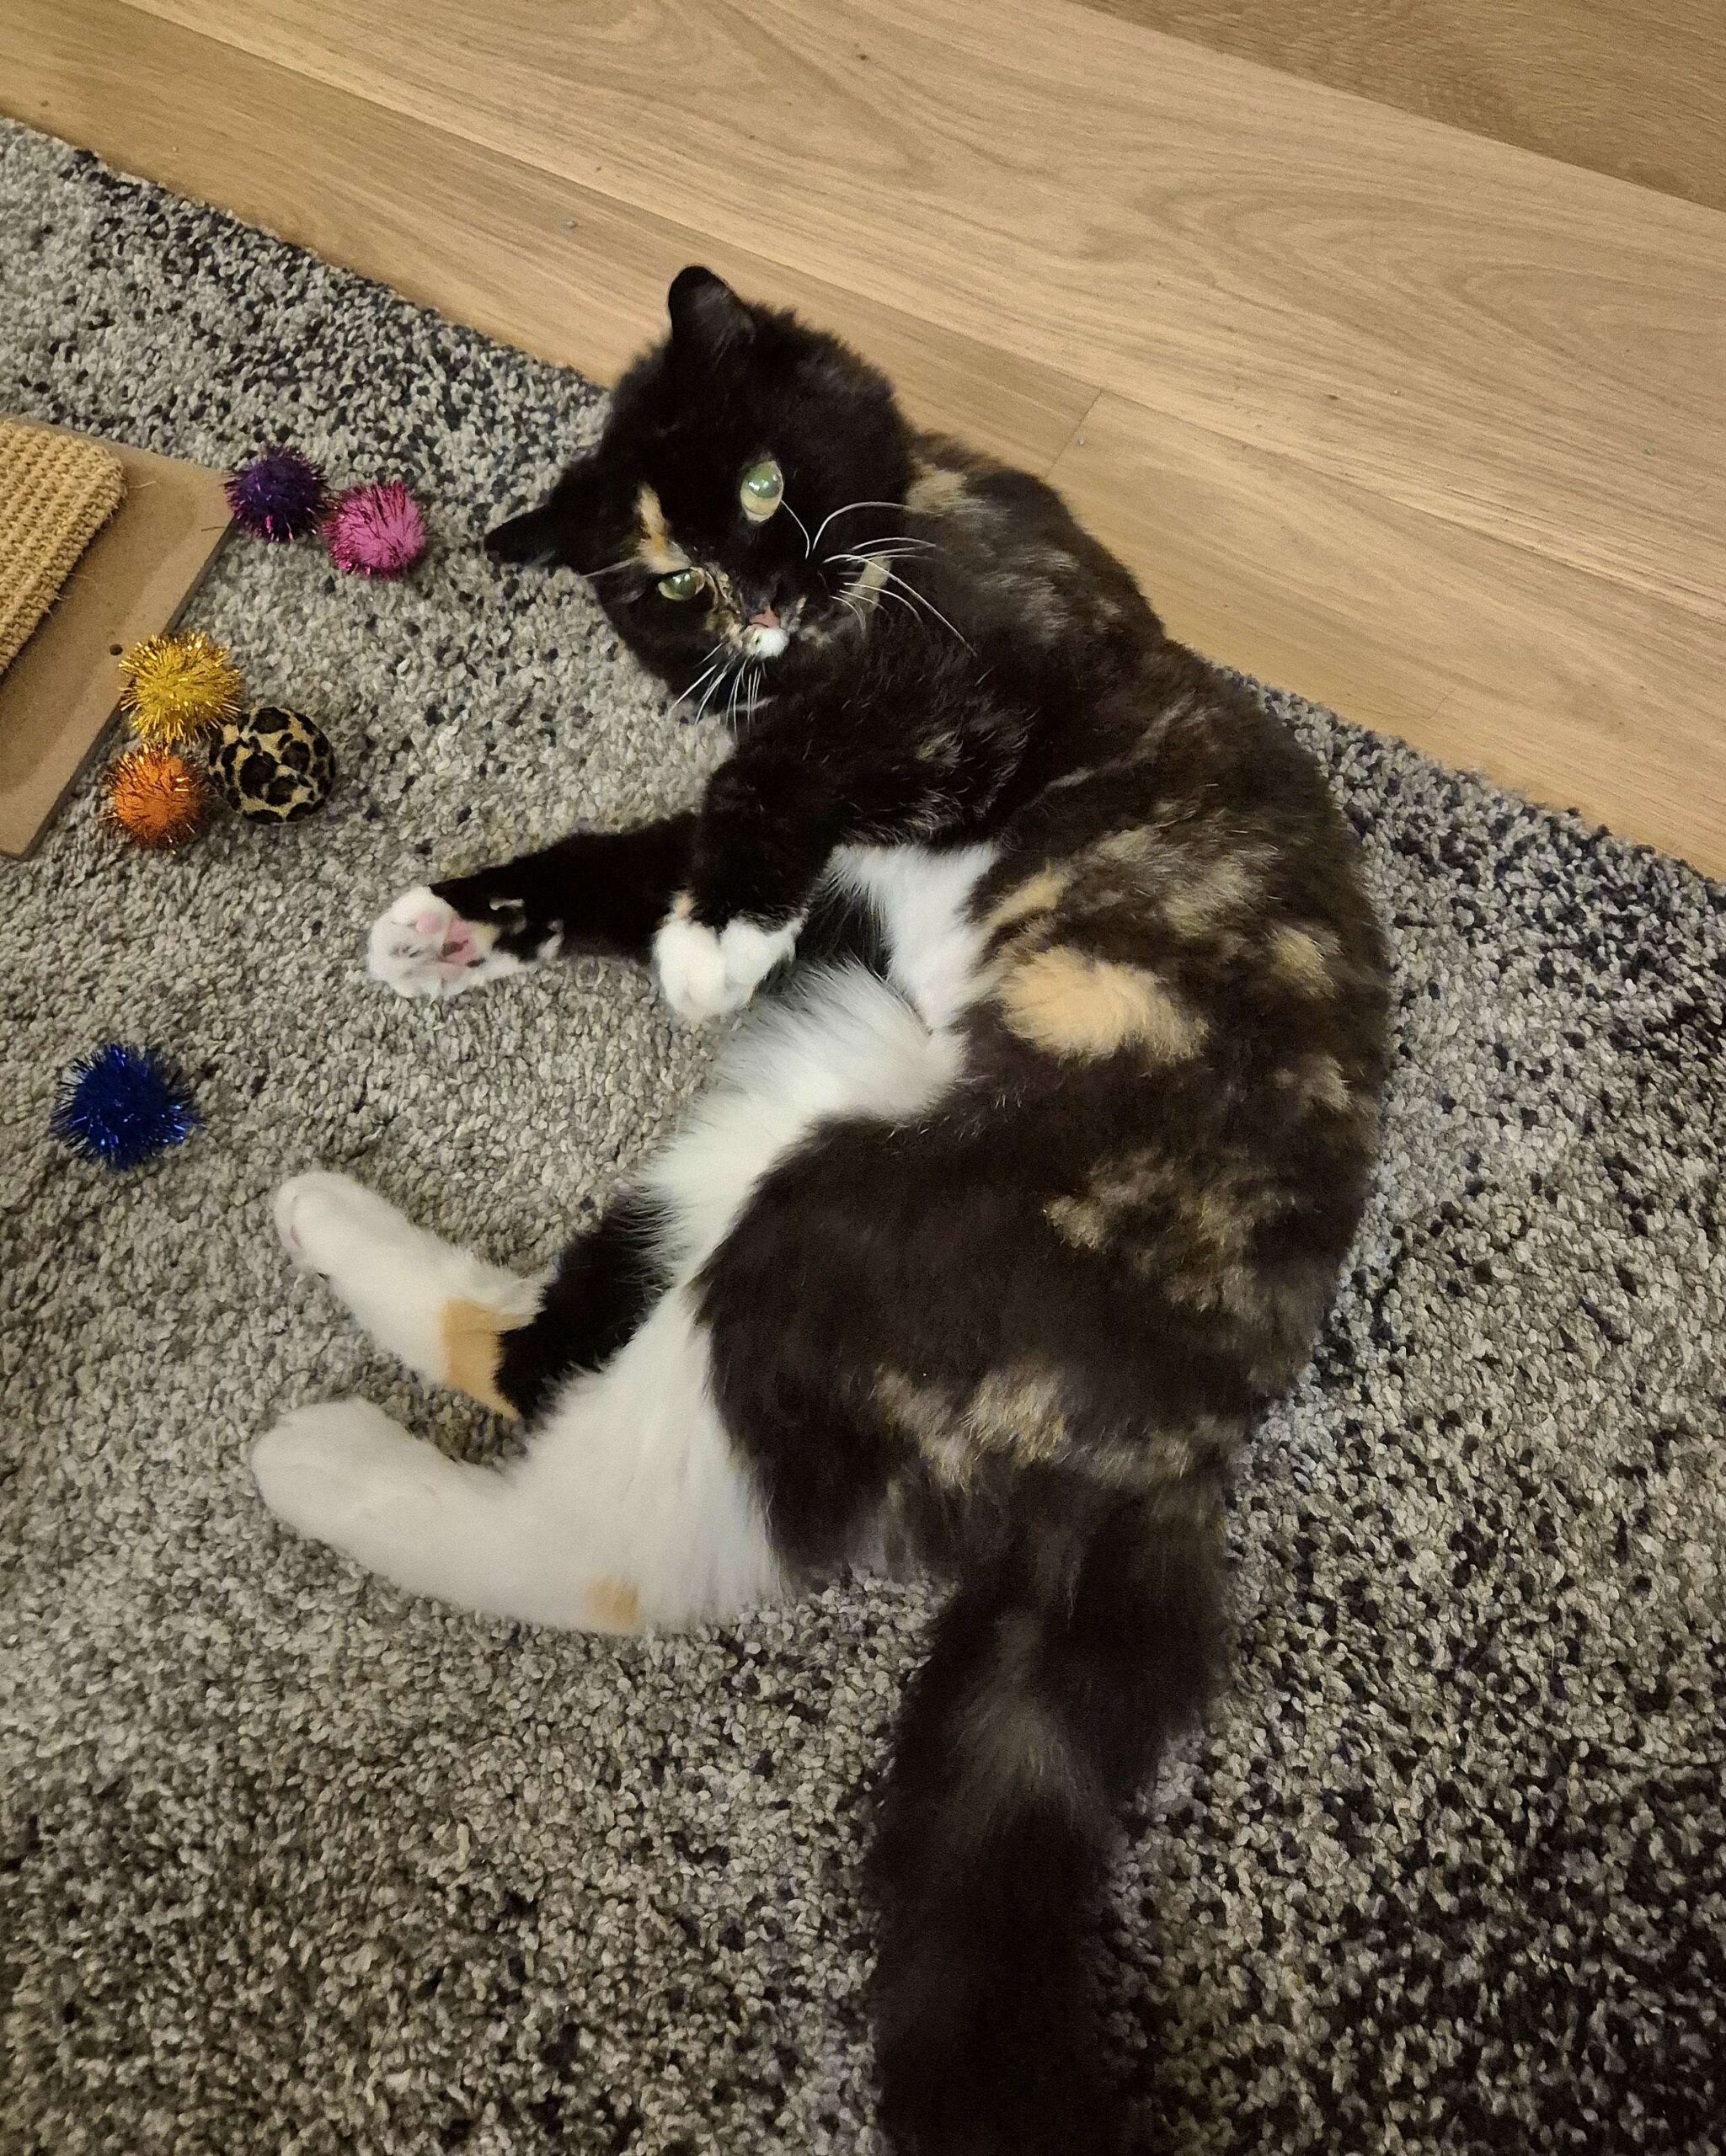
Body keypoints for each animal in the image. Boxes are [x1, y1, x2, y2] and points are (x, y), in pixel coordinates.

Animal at [253, 266, 1391, 2155]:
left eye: (765, 489)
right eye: (666, 581)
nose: (763, 600)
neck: (906, 520)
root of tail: (1175, 1446)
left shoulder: (970, 691)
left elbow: (769, 786)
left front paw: (699, 939)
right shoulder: (819, 843)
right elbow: (655, 850)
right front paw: (461, 922)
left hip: (835, 1221)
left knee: (586, 1532)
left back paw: (316, 1451)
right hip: (817, 1078)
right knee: (548, 1346)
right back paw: (325, 1216)